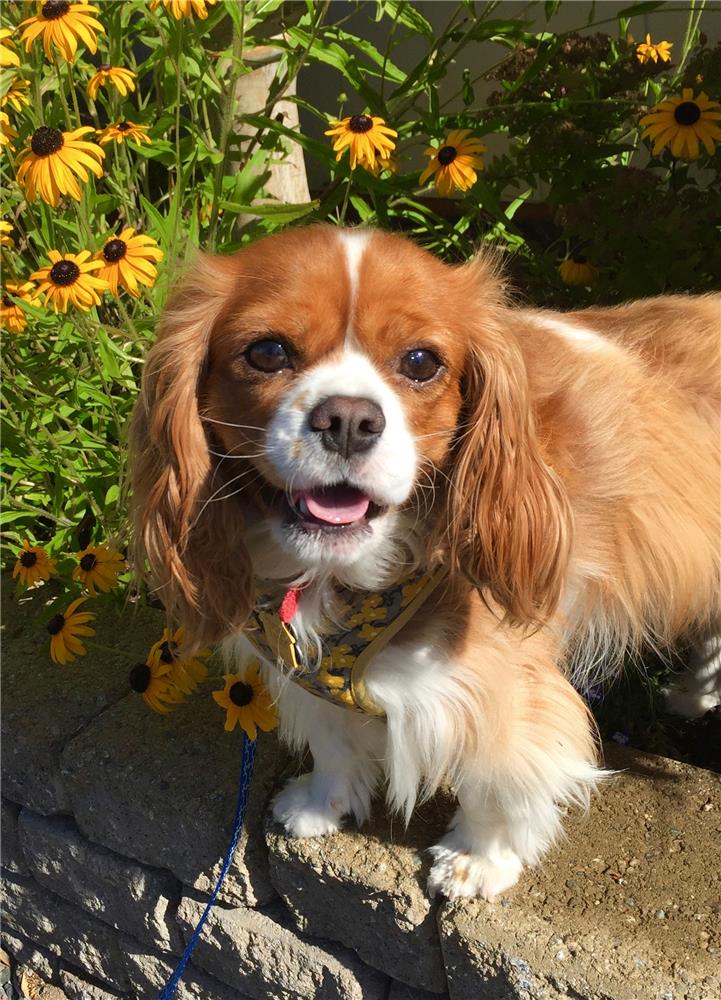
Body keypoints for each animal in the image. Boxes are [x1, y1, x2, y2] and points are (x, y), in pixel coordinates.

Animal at [131, 225, 720, 900]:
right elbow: (332, 740)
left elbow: (499, 776)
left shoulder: (501, 686)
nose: (348, 420)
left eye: (420, 362)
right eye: (268, 352)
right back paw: (693, 696)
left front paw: (478, 858)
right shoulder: (304, 669)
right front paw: (320, 805)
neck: (340, 579)